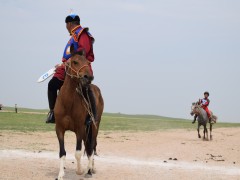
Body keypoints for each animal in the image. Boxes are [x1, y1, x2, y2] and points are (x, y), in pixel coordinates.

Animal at [54, 45, 103, 179]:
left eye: (88, 63)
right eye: (75, 62)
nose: (89, 77)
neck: (68, 102)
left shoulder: (79, 129)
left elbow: (78, 152)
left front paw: (80, 171)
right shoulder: (59, 129)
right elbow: (62, 152)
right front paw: (60, 174)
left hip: (94, 127)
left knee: (91, 146)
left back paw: (90, 169)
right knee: (89, 146)